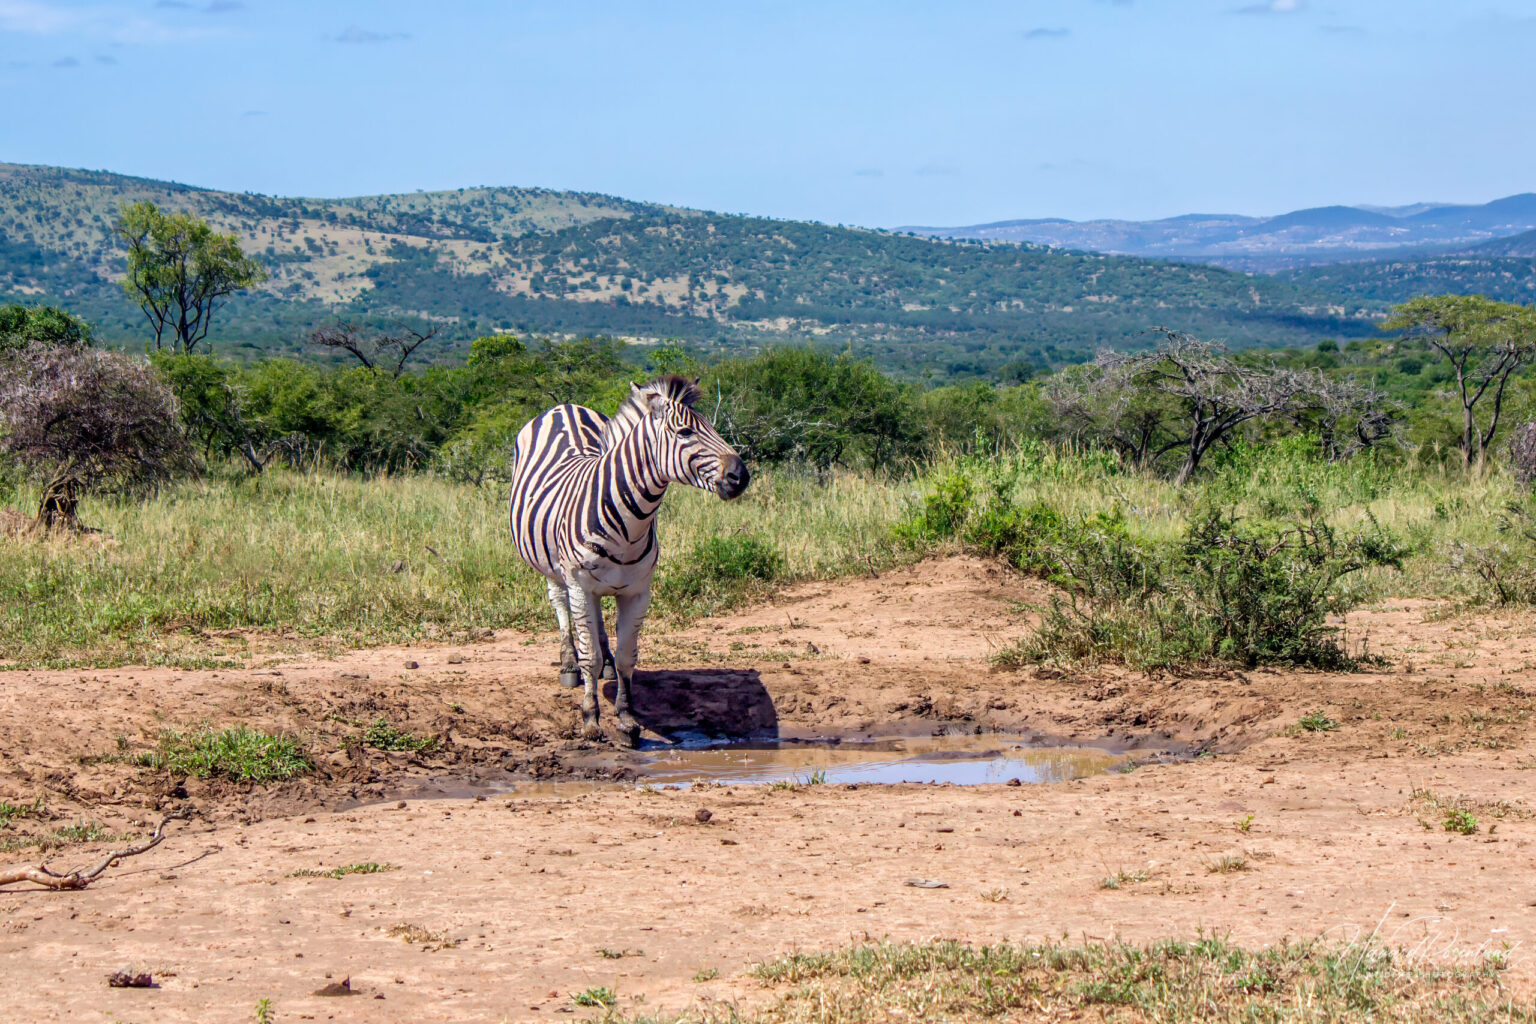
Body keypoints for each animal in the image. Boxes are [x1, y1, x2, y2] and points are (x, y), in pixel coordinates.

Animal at [508, 375, 750, 747]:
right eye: (684, 432)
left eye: (713, 427)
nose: (741, 476)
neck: (629, 523)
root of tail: (563, 406)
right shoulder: (580, 585)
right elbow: (588, 655)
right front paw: (591, 719)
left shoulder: (637, 591)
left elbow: (626, 657)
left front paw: (626, 718)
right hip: (553, 569)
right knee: (561, 605)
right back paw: (568, 665)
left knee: (596, 625)